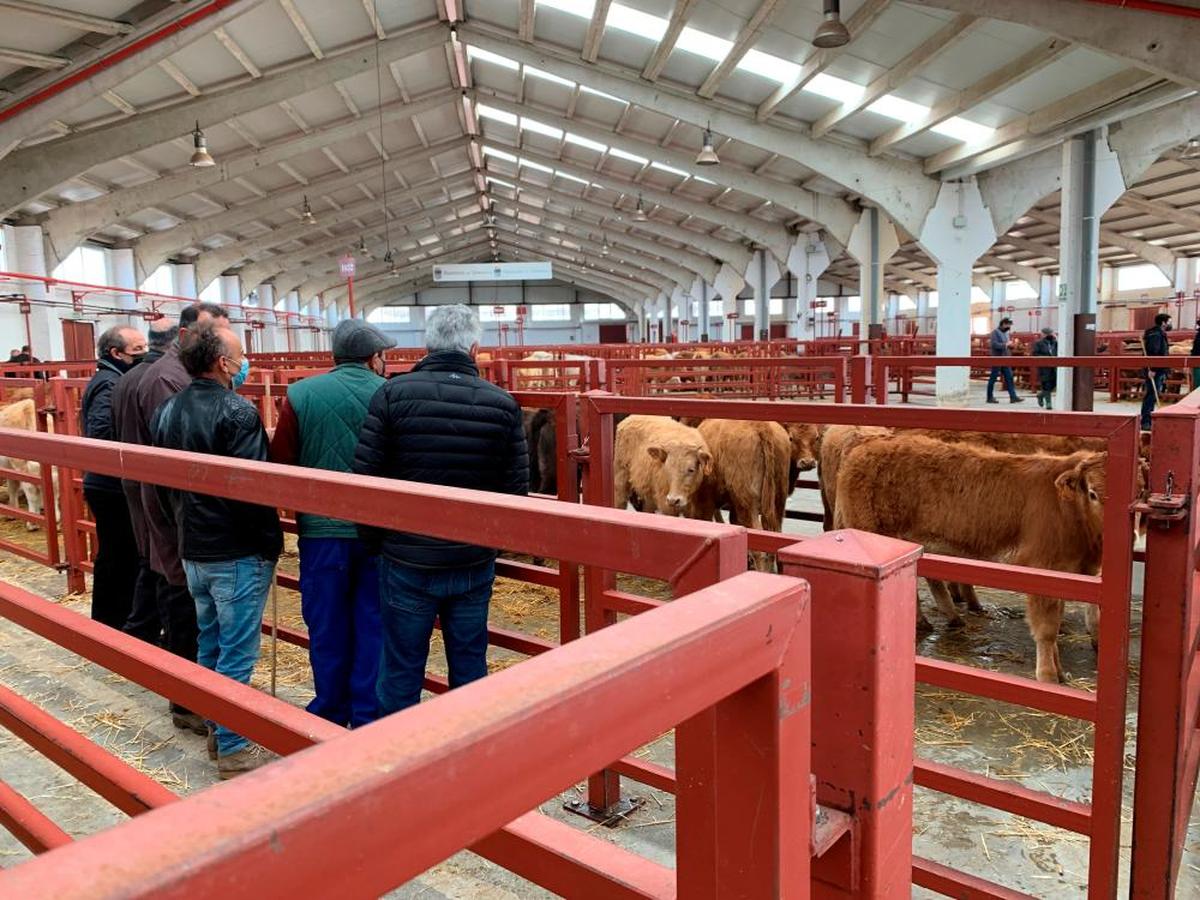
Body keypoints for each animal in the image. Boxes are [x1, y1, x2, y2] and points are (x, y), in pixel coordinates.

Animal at [840, 436, 1108, 681]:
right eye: (1092, 493)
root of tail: (868, 444)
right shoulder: (1042, 569)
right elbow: (1047, 630)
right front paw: (1049, 677)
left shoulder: (1064, 576)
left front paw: (1060, 672)